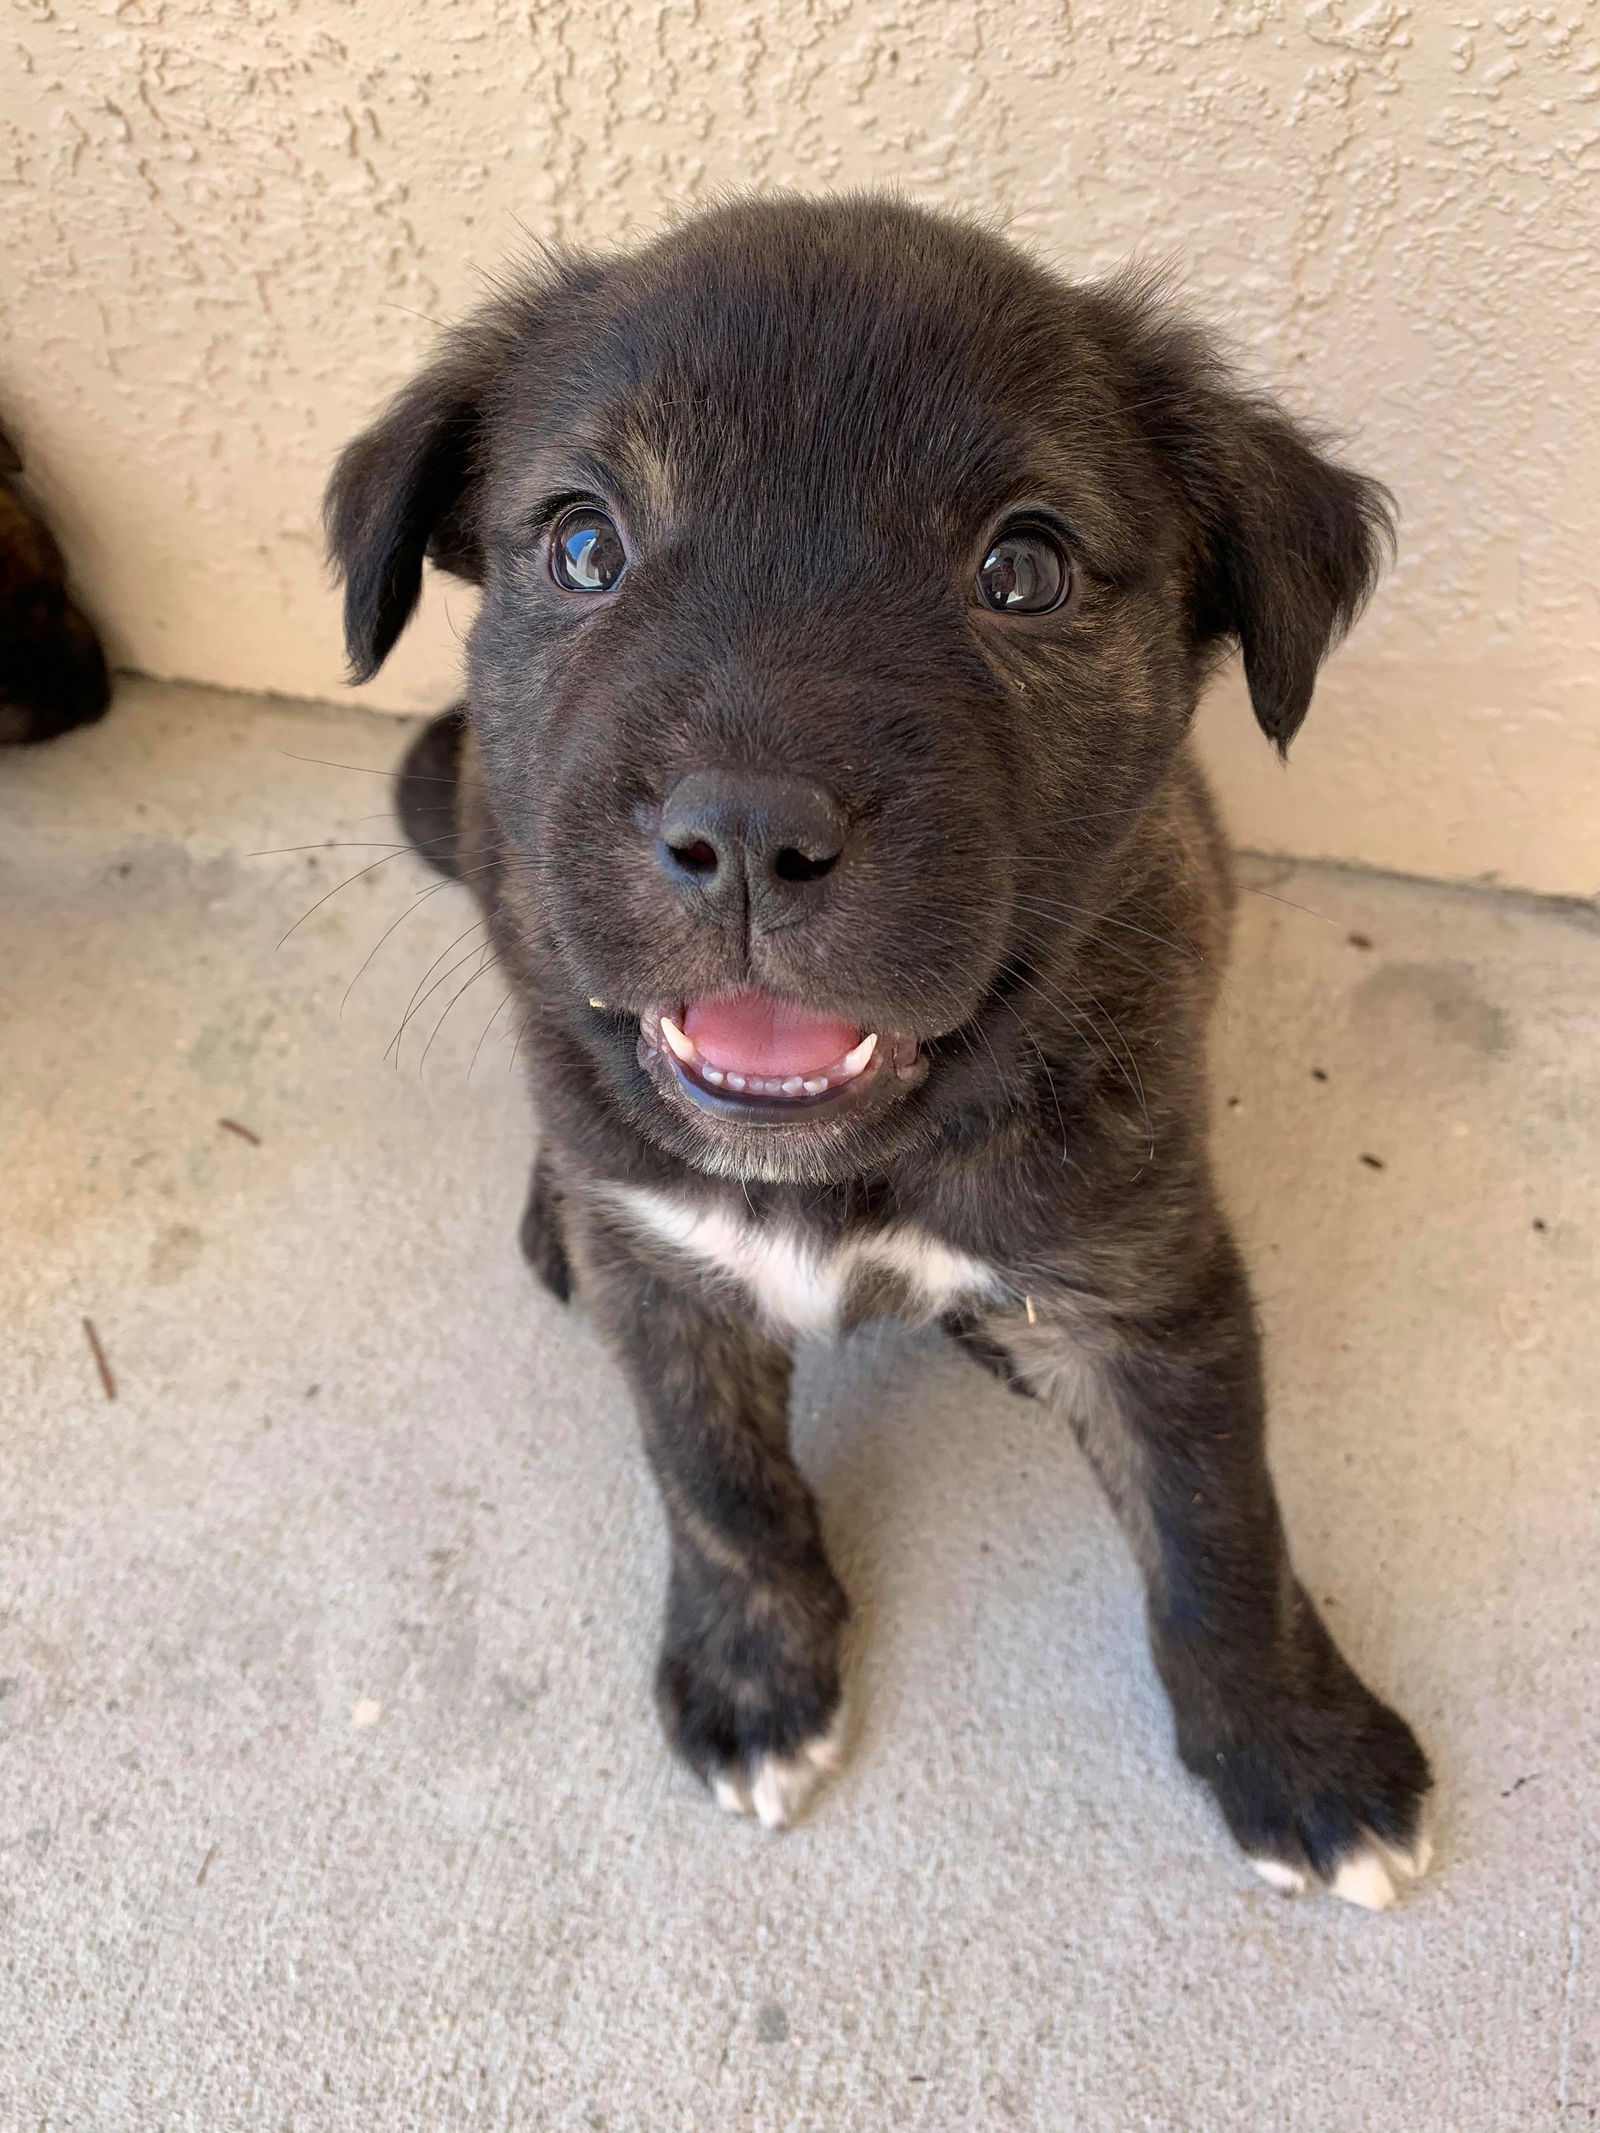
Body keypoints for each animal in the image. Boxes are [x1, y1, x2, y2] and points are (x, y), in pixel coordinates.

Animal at [322, 196, 1425, 1902]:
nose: (746, 831)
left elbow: (1218, 1526)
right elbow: (713, 1477)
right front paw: (755, 1672)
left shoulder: (1151, 1284)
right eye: (583, 545)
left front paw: (1299, 1753)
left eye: (1023, 569)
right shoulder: (671, 1275)